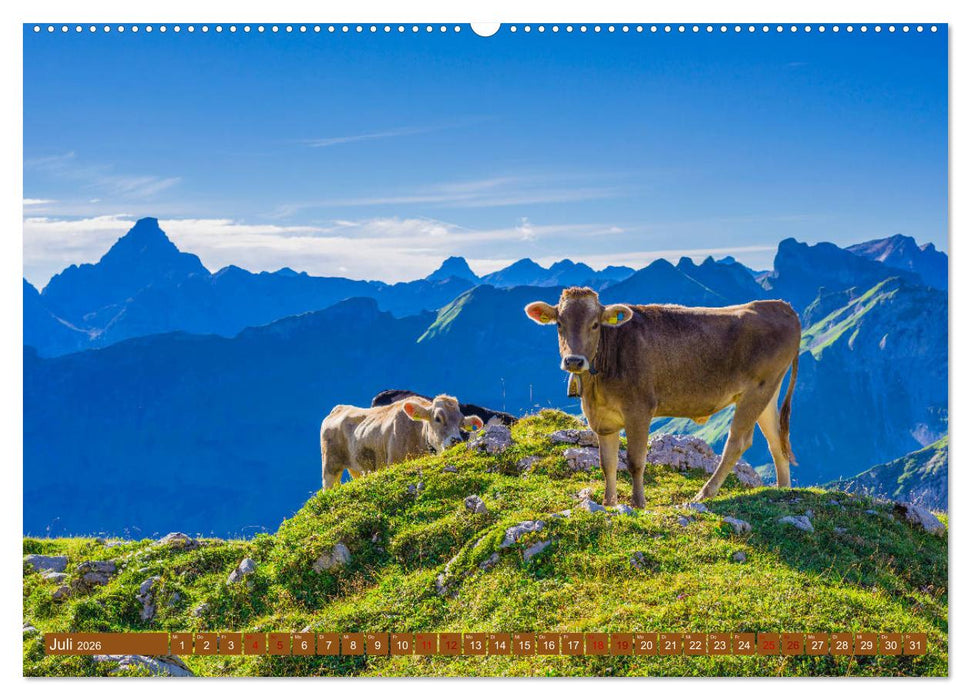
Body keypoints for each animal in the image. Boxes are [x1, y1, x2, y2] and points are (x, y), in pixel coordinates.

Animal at [320, 394, 485, 490]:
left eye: (461, 422)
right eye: (438, 418)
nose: (456, 440)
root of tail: (339, 408)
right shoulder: (394, 461)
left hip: (357, 467)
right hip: (330, 466)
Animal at [524, 286, 800, 506]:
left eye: (594, 324)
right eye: (559, 324)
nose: (573, 360)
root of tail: (781, 306)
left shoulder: (639, 410)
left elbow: (635, 461)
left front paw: (638, 503)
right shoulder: (603, 419)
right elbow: (607, 463)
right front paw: (608, 503)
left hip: (758, 388)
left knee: (738, 441)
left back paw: (704, 494)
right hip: (768, 390)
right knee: (776, 440)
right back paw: (783, 490)